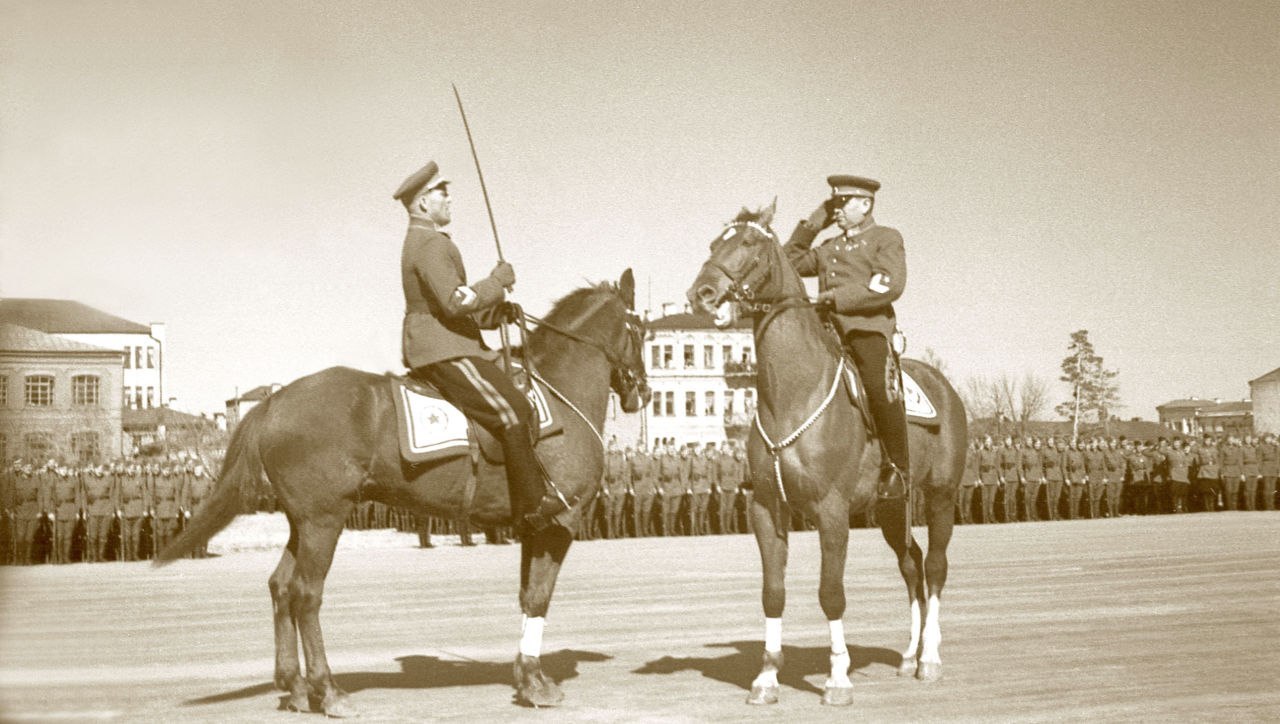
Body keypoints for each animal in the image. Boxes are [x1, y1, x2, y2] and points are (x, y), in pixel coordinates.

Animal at [156, 269, 650, 716]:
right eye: (640, 331)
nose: (642, 394)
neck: (558, 393)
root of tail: (276, 400)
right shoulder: (558, 522)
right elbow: (539, 597)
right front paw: (534, 682)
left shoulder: (534, 526)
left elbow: (529, 596)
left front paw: (527, 678)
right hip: (323, 522)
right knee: (305, 595)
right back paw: (327, 690)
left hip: (304, 522)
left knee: (280, 588)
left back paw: (295, 687)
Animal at [686, 205, 962, 711]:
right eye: (716, 243)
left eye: (748, 245)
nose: (702, 293)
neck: (792, 395)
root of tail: (944, 386)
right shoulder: (766, 509)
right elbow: (772, 594)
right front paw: (767, 678)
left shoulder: (832, 513)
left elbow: (831, 593)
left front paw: (837, 678)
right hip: (891, 507)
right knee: (910, 564)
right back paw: (909, 655)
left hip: (940, 497)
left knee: (934, 567)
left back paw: (930, 657)